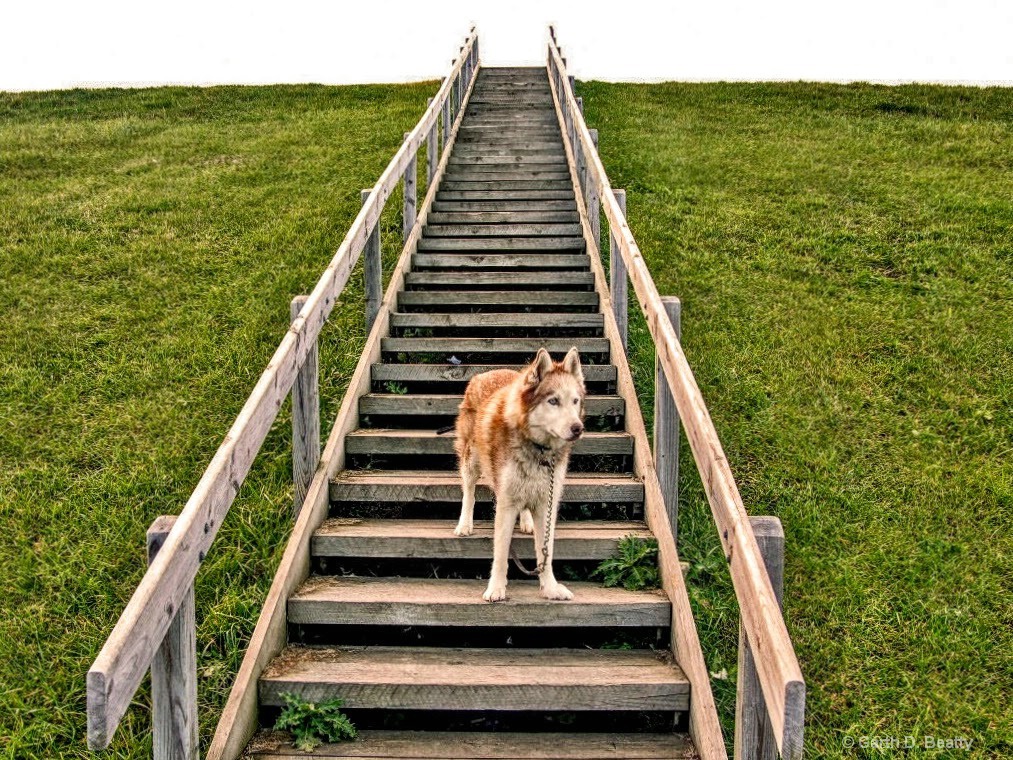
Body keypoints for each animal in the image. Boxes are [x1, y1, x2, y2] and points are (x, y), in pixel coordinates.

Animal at [453, 348, 587, 603]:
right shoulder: (506, 503)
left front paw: (550, 588)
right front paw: (496, 589)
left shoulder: (546, 503)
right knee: (469, 493)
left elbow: (545, 553)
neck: (538, 450)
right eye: (553, 401)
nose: (578, 428)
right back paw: (464, 524)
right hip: (471, 460)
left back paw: (526, 522)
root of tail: (487, 373)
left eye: (575, 401)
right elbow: (501, 553)